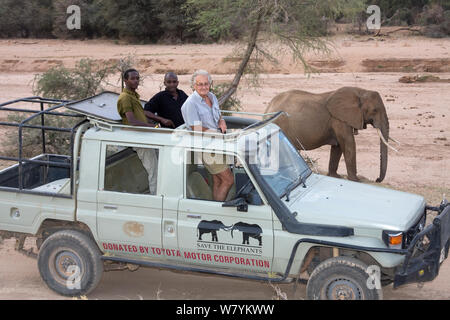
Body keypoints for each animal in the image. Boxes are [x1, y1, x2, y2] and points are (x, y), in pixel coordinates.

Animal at [266, 87, 396, 182]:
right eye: (375, 110)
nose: (377, 179)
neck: (360, 91)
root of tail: (268, 107)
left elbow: (338, 146)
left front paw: (335, 176)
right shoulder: (339, 120)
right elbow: (348, 143)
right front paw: (356, 180)